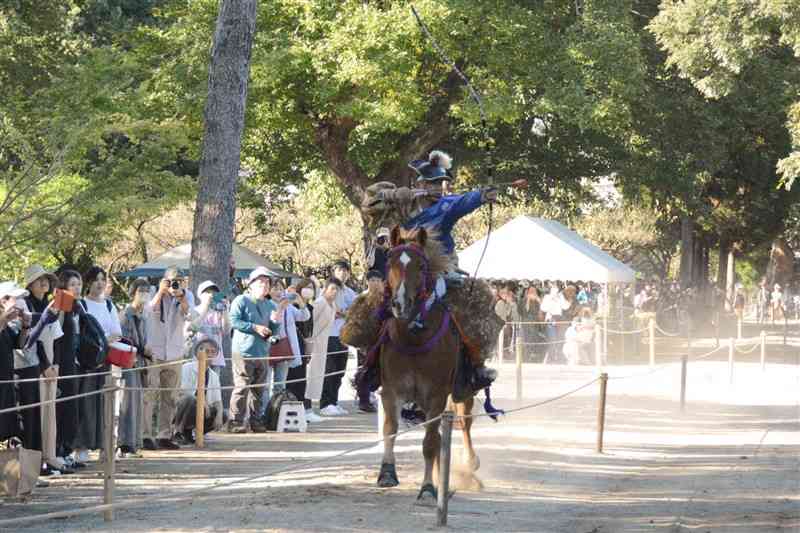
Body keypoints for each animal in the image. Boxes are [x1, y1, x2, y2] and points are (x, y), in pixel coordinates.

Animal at [376, 224, 482, 502]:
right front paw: (387, 473)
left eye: (421, 266)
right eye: (390, 261)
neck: (414, 336)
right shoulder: (392, 390)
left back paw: (470, 465)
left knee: (464, 422)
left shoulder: (436, 394)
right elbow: (390, 429)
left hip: (462, 389)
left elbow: (430, 443)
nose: (400, 304)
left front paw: (426, 488)